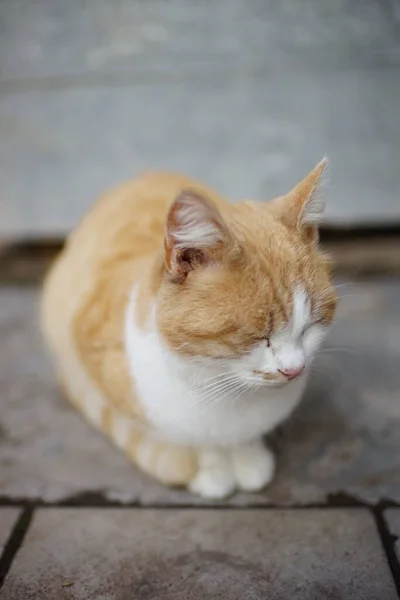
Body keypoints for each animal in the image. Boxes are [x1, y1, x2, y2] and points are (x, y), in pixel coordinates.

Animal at [41, 158, 334, 496]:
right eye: (259, 336)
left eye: (310, 326)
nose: (294, 370)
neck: (222, 386)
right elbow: (195, 443)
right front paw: (212, 468)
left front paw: (246, 456)